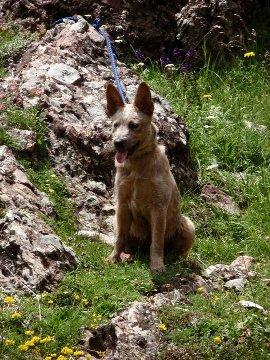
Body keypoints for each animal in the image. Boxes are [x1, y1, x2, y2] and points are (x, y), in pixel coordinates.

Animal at [105, 81, 194, 272]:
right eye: (115, 125)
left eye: (134, 125)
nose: (118, 143)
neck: (137, 166)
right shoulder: (122, 205)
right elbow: (120, 238)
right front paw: (113, 258)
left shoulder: (158, 208)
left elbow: (157, 242)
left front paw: (157, 265)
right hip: (116, 220)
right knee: (127, 242)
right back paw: (127, 255)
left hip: (188, 225)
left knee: (177, 251)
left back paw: (179, 261)